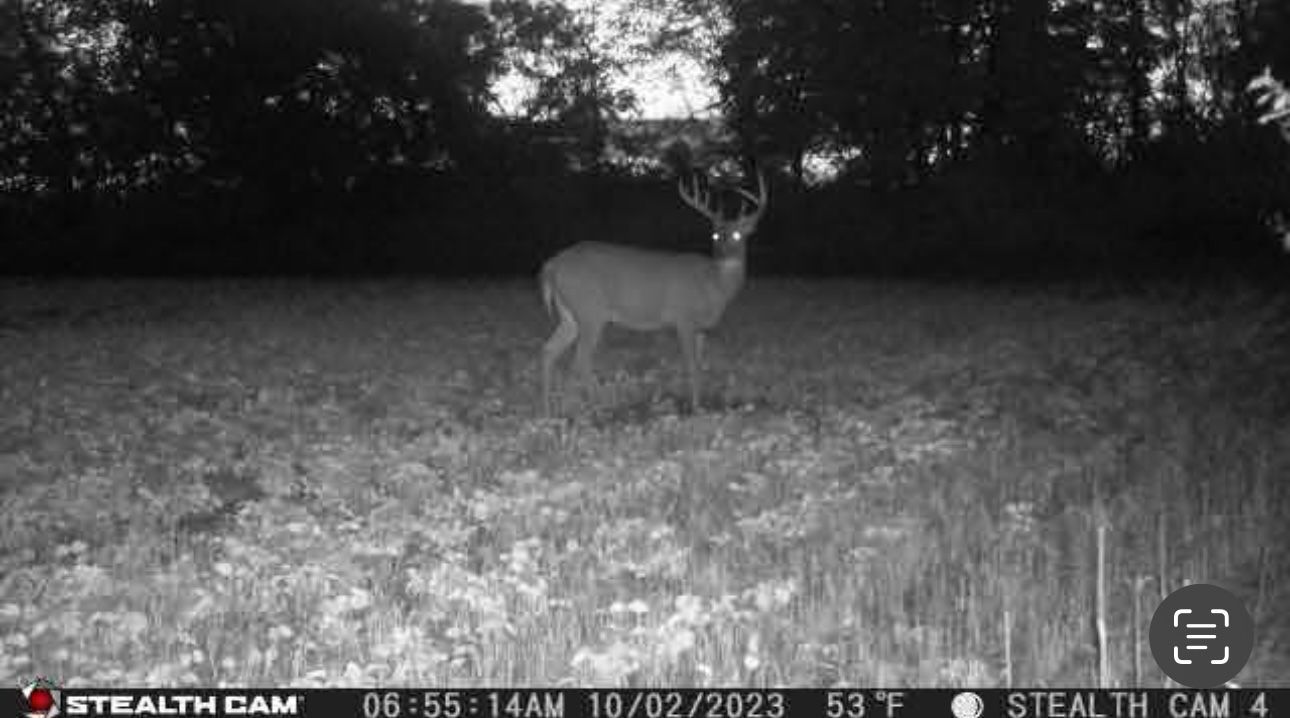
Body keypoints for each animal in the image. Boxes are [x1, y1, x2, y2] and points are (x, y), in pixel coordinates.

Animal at [539, 169, 768, 415]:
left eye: (737, 236)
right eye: (715, 235)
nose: (722, 253)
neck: (714, 284)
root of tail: (551, 265)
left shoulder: (701, 328)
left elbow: (700, 365)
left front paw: (700, 403)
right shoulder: (683, 318)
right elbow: (691, 365)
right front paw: (695, 408)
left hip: (569, 315)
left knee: (548, 350)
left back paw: (549, 409)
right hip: (590, 310)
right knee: (580, 359)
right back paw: (599, 406)